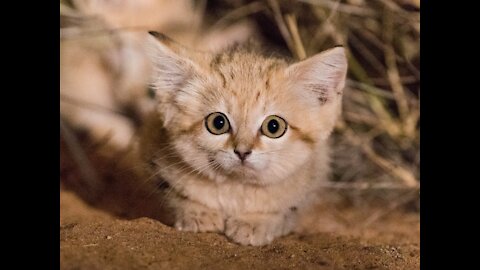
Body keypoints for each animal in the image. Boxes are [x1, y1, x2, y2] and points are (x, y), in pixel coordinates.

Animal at [141, 32, 346, 246]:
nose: (242, 152)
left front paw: (254, 222)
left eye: (274, 126)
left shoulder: (311, 183)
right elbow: (175, 196)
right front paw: (197, 212)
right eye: (218, 123)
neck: (236, 189)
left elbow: (283, 211)